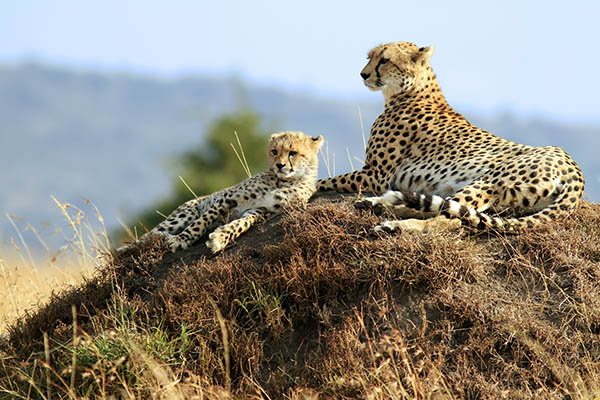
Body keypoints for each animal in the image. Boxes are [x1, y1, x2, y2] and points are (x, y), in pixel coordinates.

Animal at [322, 41, 584, 231]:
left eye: (385, 60)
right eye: (370, 57)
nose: (363, 74)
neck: (411, 91)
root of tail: (572, 166)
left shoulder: (375, 175)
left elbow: (325, 180)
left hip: (488, 181)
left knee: (448, 217)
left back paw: (394, 223)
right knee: (444, 208)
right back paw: (383, 205)